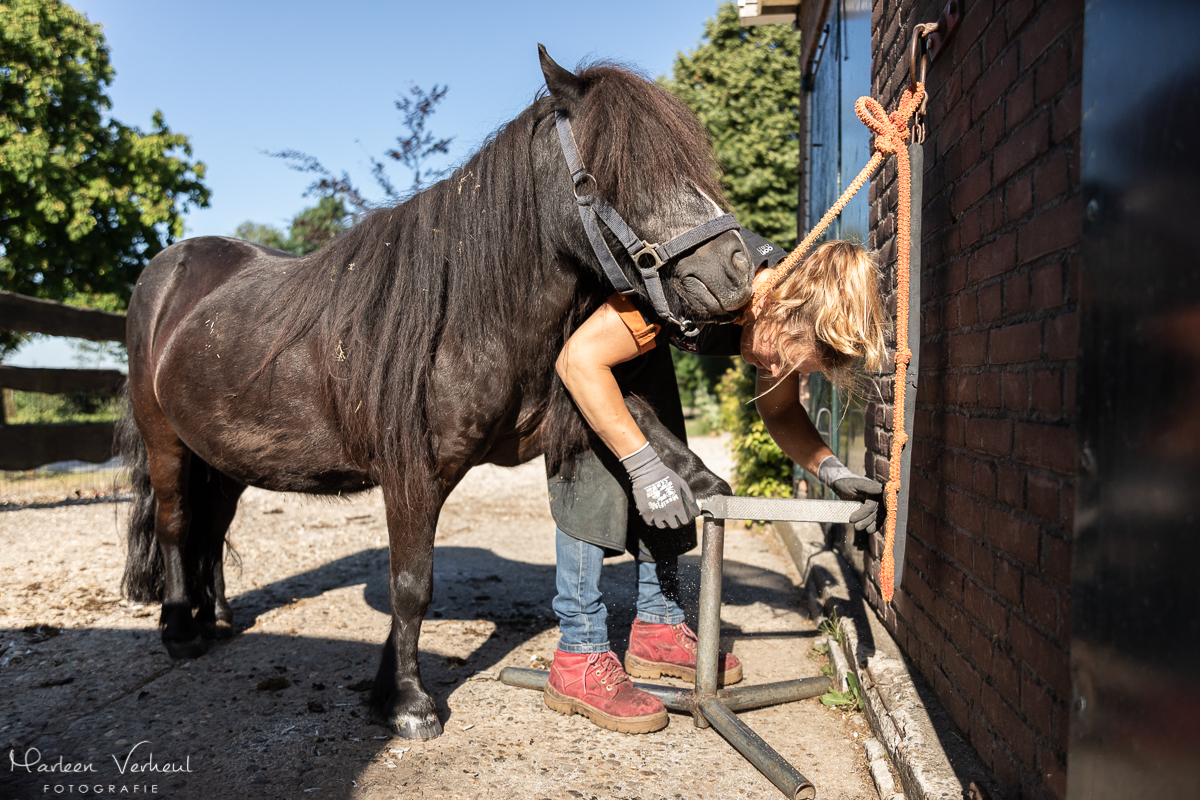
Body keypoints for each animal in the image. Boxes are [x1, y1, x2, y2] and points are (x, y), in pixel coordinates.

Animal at [117, 46, 752, 740]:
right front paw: (408, 703)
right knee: (177, 524)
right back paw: (180, 629)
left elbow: (642, 428)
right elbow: (411, 584)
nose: (739, 268)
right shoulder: (412, 476)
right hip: (167, 443)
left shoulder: (557, 416)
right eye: (615, 172)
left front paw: (698, 485)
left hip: (225, 457)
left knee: (211, 529)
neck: (466, 315)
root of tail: (166, 271)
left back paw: (218, 620)